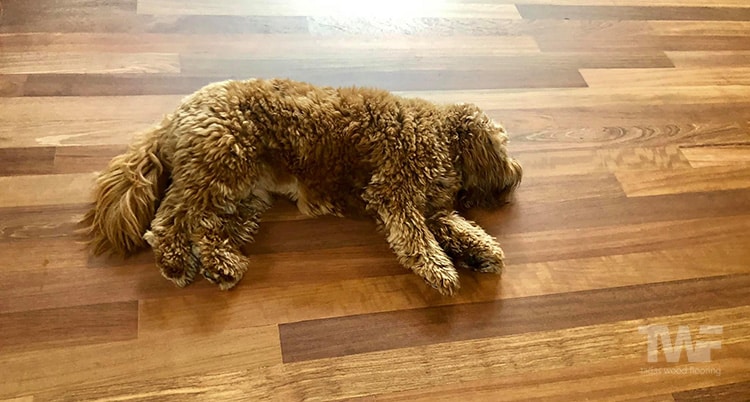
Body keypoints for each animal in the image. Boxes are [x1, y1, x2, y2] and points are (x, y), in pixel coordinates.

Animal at [85, 77, 524, 296]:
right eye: (505, 143)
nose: (515, 178)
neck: (441, 137)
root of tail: (177, 112)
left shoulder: (432, 206)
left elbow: (457, 226)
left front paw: (481, 249)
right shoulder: (396, 193)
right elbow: (416, 238)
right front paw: (438, 269)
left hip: (240, 192)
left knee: (201, 225)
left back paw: (216, 265)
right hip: (222, 165)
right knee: (174, 221)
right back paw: (182, 262)